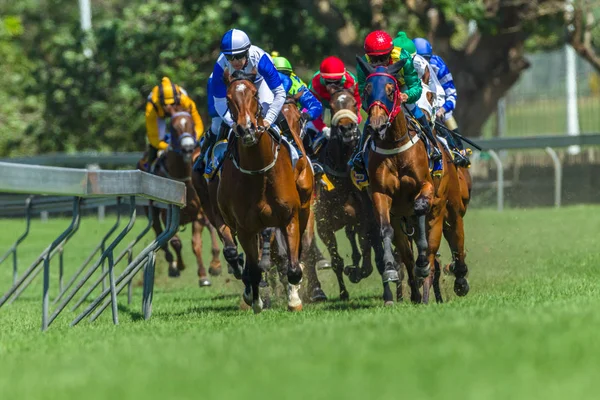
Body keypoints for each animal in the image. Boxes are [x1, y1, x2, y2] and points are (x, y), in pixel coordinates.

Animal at [137, 105, 221, 288]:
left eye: (191, 124)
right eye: (173, 128)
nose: (188, 148)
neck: (181, 180)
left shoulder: (198, 213)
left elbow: (196, 244)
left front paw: (203, 276)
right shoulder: (166, 213)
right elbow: (174, 242)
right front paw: (178, 265)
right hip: (151, 212)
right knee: (159, 234)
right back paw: (173, 264)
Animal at [217, 70, 310, 314]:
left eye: (254, 95)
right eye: (228, 99)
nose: (247, 128)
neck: (259, 171)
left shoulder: (290, 217)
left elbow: (293, 266)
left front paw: (294, 299)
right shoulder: (245, 228)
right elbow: (254, 269)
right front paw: (256, 300)